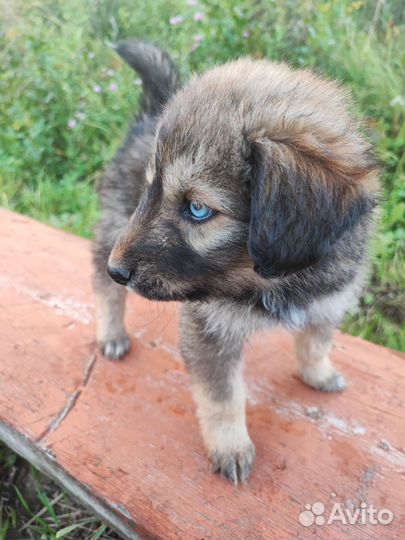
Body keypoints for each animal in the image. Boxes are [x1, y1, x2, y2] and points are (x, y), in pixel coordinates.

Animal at [92, 40, 378, 484]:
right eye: (149, 190)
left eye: (197, 209)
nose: (119, 269)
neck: (271, 280)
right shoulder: (209, 329)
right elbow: (222, 397)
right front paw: (231, 447)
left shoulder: (328, 300)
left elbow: (315, 341)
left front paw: (317, 373)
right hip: (113, 227)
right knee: (102, 285)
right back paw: (111, 331)